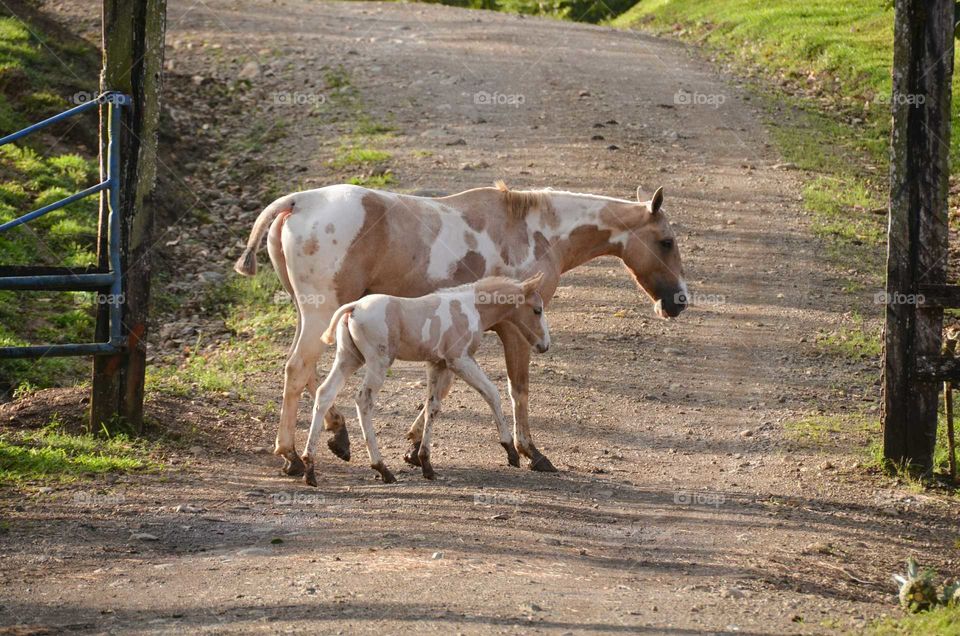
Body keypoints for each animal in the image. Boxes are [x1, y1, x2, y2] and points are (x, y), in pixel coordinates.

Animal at [234, 180, 687, 476]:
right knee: (298, 370)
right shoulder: (514, 333)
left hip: (314, 316)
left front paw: (415, 447)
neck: (535, 230)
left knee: (309, 374)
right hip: (319, 313)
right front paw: (529, 452)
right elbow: (515, 390)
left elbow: (442, 392)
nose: (678, 301)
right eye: (665, 241)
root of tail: (297, 202)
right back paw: (293, 456)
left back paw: (336, 436)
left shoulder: (456, 345)